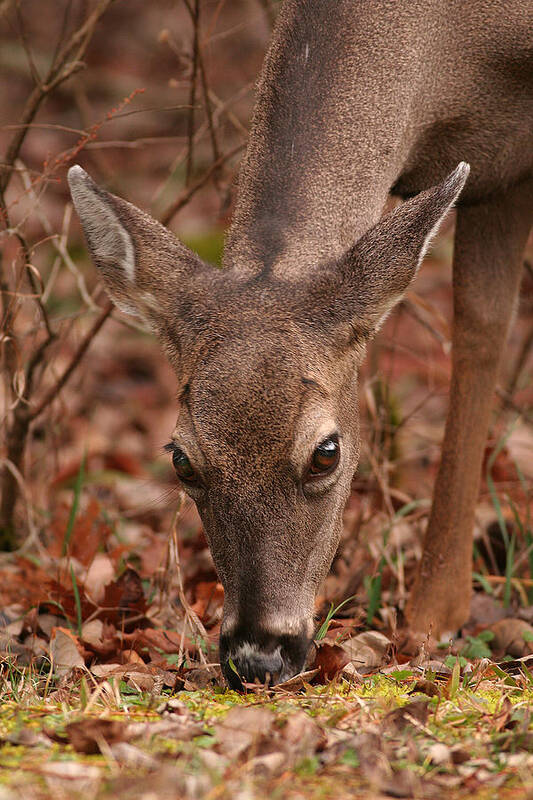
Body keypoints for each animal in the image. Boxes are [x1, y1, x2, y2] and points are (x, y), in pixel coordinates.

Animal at [67, 0, 532, 688]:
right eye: (181, 459)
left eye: (326, 453)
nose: (259, 654)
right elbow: (481, 327)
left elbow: (481, 332)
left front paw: (432, 618)